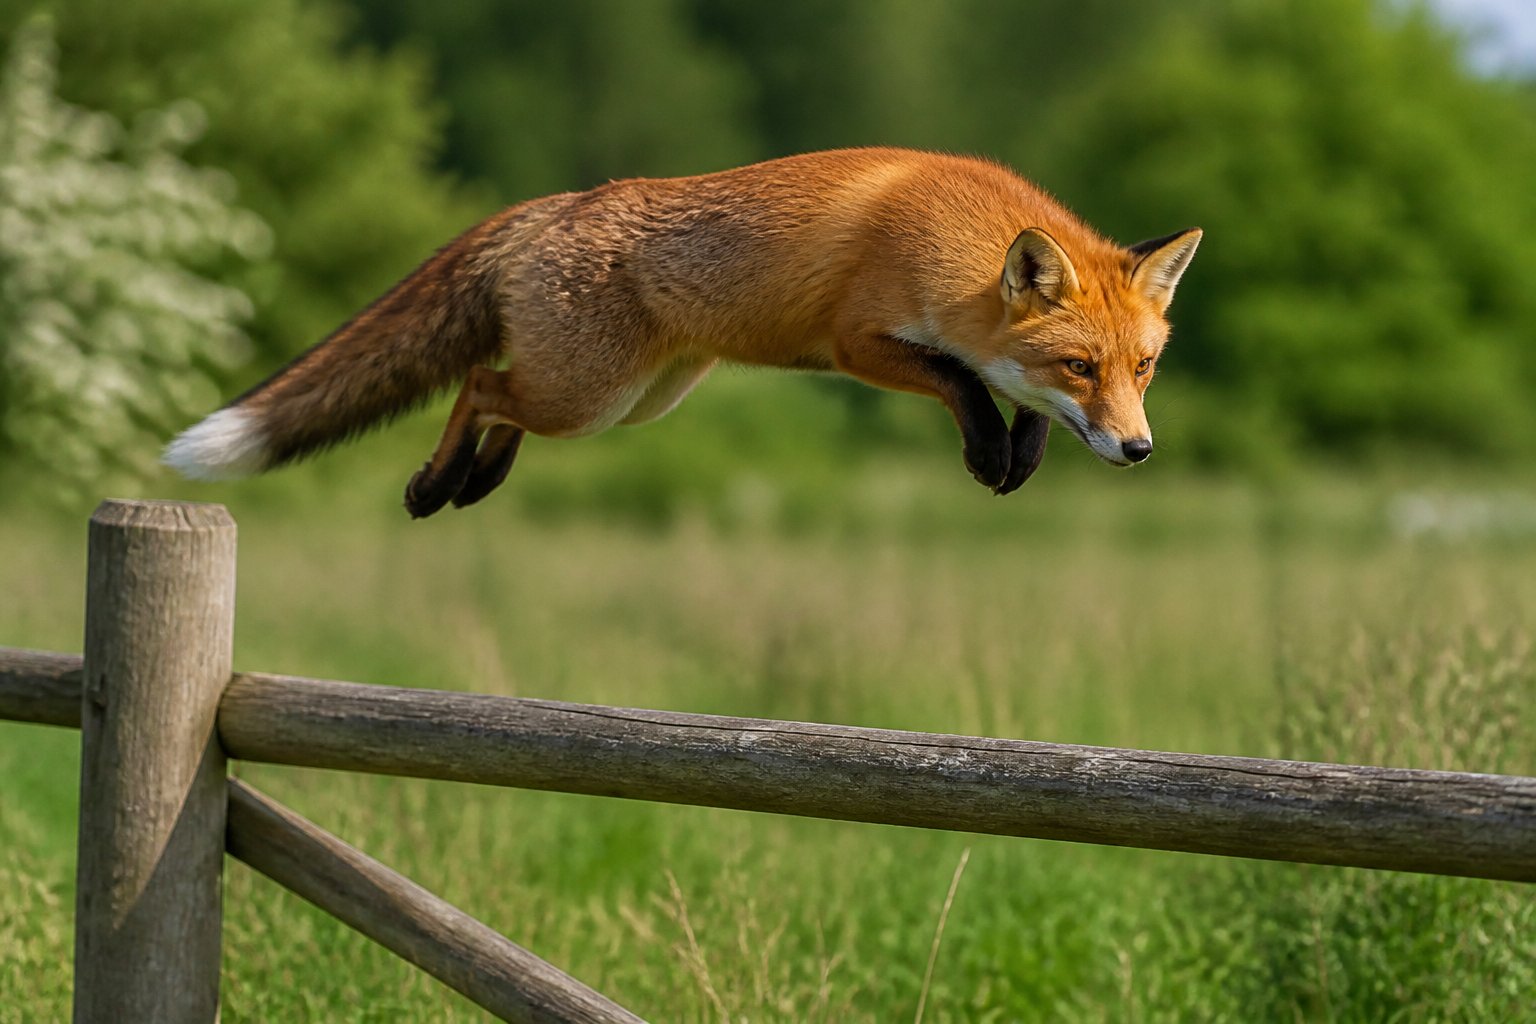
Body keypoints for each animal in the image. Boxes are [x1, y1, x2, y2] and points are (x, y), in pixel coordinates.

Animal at [164, 147, 1201, 517]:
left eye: (1143, 369)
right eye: (1079, 364)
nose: (1142, 450)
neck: (944, 239)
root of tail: (550, 206)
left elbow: (1015, 406)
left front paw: (1015, 457)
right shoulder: (857, 342)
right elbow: (961, 382)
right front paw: (987, 449)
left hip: (630, 404)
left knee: (500, 402)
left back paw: (475, 481)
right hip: (591, 396)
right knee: (483, 386)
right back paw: (435, 484)